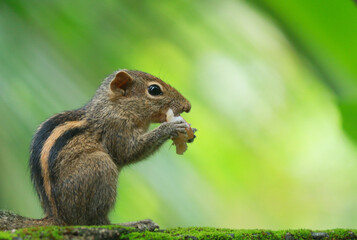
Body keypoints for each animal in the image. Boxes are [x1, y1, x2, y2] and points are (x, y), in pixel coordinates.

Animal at [0, 69, 195, 231]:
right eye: (154, 90)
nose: (188, 106)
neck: (113, 107)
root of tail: (58, 218)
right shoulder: (115, 128)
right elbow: (129, 152)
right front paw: (170, 127)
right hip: (99, 166)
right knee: (95, 221)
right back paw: (133, 224)